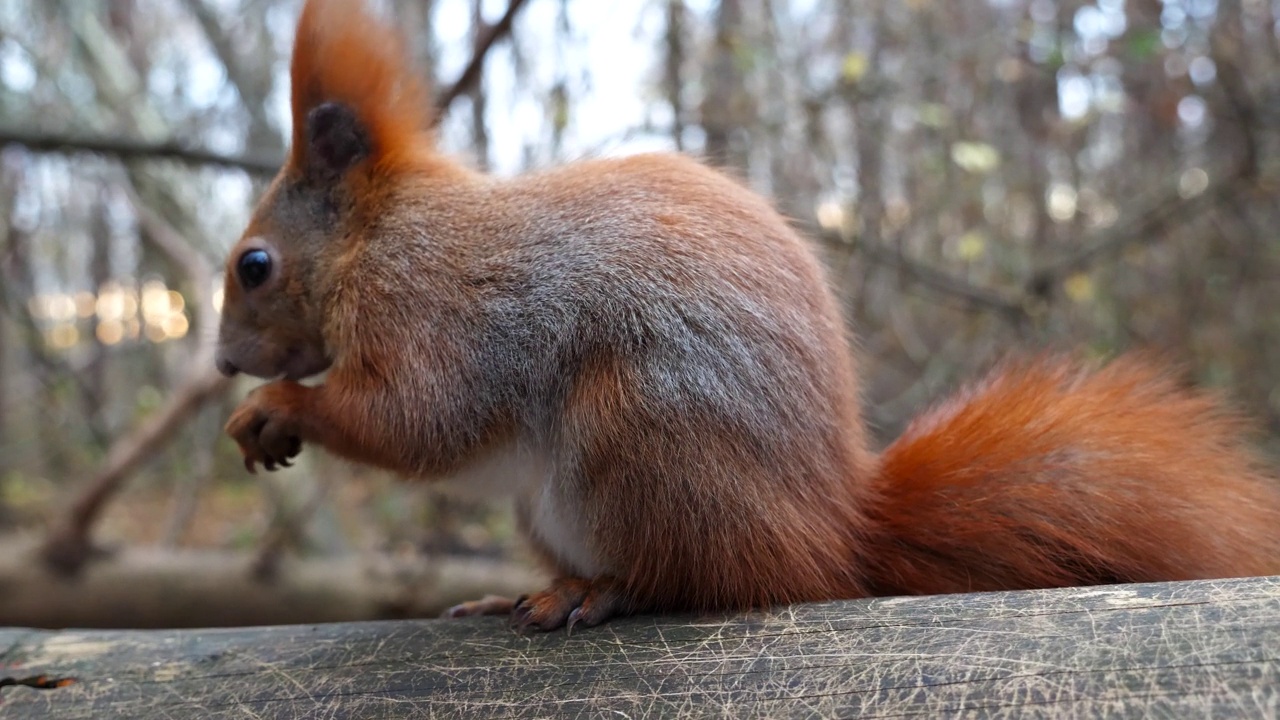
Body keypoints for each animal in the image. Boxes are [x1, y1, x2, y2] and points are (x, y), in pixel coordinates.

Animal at [215, 0, 1280, 627]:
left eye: (254, 265)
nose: (224, 362)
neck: (377, 237)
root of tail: (831, 531)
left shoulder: (436, 309)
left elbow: (421, 419)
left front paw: (276, 410)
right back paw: (522, 591)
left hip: (635, 440)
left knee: (691, 579)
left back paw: (598, 594)